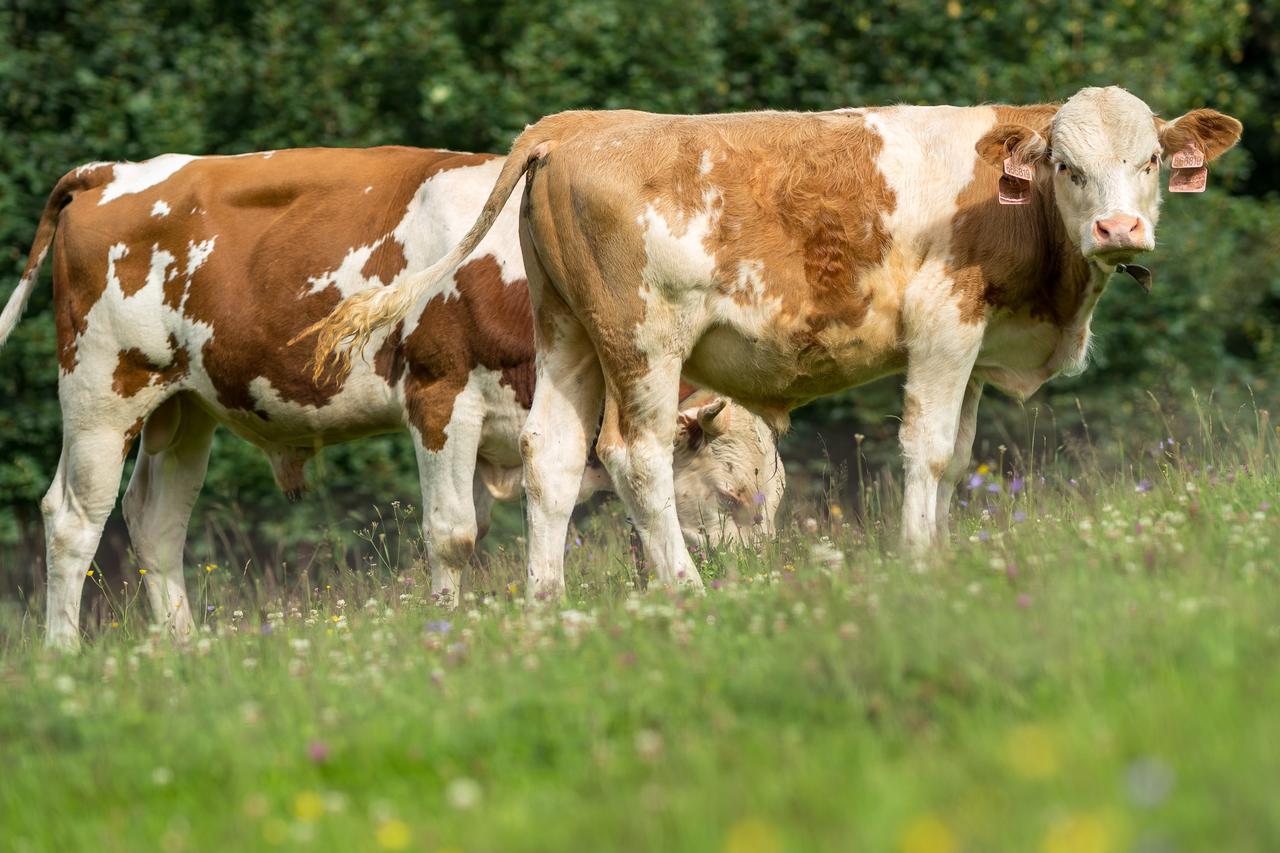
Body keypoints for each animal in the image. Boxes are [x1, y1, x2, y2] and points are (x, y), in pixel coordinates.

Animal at [0, 147, 783, 650]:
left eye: (773, 498)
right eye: (734, 493)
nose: (761, 583)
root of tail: (111, 173)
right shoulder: (439, 397)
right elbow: (453, 532)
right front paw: (447, 628)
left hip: (184, 407)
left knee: (156, 524)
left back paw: (182, 650)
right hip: (102, 390)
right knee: (72, 520)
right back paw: (65, 656)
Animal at [309, 84, 1239, 596]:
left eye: (1152, 160)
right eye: (1067, 167)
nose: (1120, 229)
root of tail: (577, 125)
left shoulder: (977, 347)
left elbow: (958, 454)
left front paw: (940, 553)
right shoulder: (944, 325)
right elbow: (929, 449)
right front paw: (919, 560)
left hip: (568, 331)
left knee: (555, 457)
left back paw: (547, 602)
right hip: (643, 341)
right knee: (634, 456)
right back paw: (686, 589)